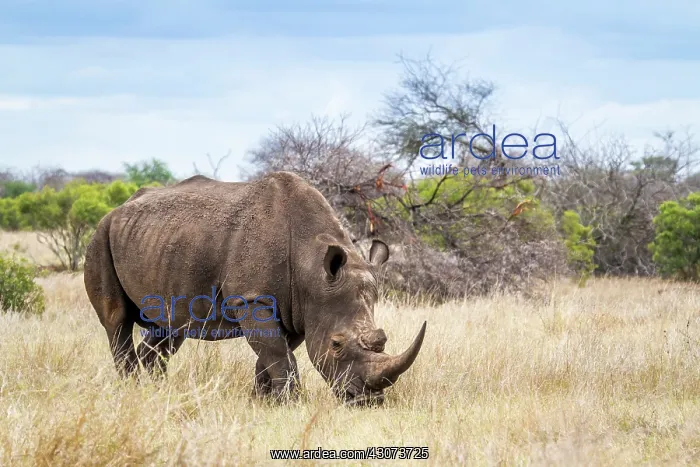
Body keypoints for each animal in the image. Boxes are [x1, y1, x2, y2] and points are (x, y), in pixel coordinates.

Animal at [84, 172, 426, 406]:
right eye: (336, 344)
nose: (367, 401)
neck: (312, 269)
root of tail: (118, 208)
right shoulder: (251, 300)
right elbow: (277, 354)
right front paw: (291, 403)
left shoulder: (296, 309)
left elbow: (274, 354)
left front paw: (263, 401)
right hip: (100, 236)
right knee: (117, 321)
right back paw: (130, 389)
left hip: (159, 245)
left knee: (167, 328)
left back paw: (155, 390)